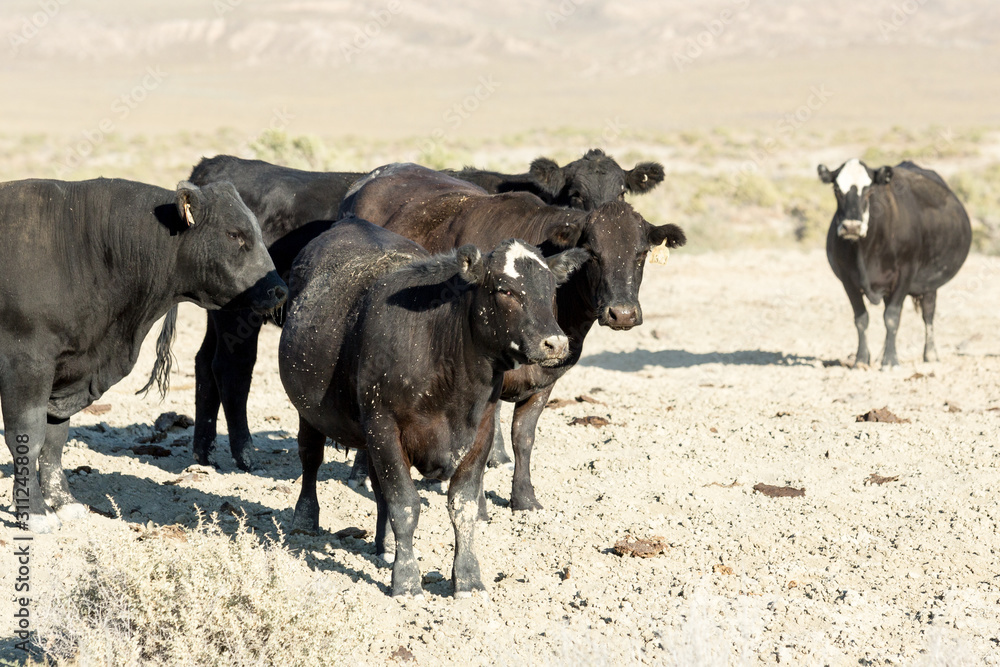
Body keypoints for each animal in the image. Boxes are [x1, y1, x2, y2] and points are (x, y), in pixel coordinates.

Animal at [0, 178, 286, 533]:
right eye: (235, 234)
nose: (279, 288)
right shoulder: (27, 363)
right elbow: (29, 436)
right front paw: (36, 513)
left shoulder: (68, 374)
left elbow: (54, 441)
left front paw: (65, 502)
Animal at [188, 149, 664, 470]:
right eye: (576, 194)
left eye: (623, 188)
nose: (622, 312)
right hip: (240, 313)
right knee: (232, 370)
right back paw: (244, 452)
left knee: (204, 364)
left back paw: (202, 451)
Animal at [279, 217, 588, 597]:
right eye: (505, 290)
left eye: (551, 290)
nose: (555, 343)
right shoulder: (385, 426)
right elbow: (405, 504)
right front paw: (407, 580)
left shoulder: (481, 431)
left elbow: (462, 505)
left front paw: (467, 577)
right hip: (311, 410)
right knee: (311, 457)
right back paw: (305, 520)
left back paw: (384, 546)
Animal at [339, 163, 686, 511]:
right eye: (592, 253)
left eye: (641, 254)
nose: (622, 313)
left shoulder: (546, 379)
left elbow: (523, 436)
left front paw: (523, 497)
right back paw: (361, 473)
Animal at [818, 159, 971, 368]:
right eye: (836, 189)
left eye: (869, 189)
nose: (852, 227)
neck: (865, 251)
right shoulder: (847, 279)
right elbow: (861, 319)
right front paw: (861, 359)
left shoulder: (905, 274)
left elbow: (891, 317)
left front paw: (890, 360)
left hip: (930, 283)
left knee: (928, 314)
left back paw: (930, 354)